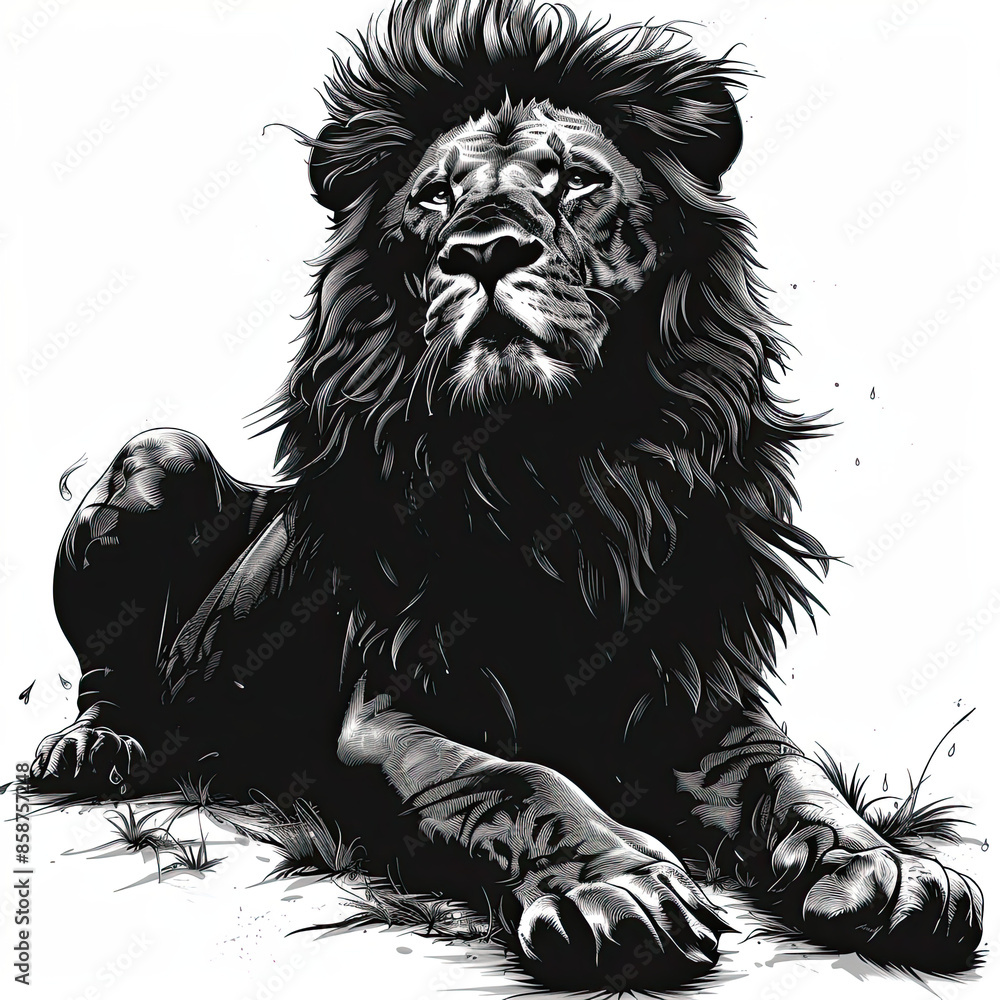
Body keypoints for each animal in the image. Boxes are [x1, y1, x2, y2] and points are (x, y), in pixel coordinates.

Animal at [31, 0, 982, 989]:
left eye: (578, 182)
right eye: (434, 197)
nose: (484, 251)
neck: (556, 466)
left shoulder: (696, 704)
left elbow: (795, 782)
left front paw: (888, 870)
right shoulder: (391, 711)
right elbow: (515, 784)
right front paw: (619, 890)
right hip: (157, 459)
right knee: (110, 678)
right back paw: (91, 749)